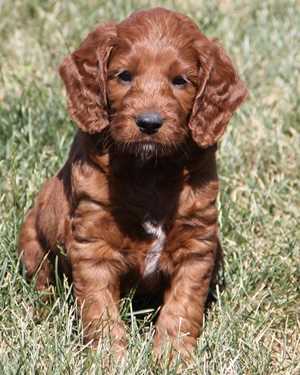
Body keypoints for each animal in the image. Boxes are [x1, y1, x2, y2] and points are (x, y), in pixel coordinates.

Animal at [19, 8, 248, 362]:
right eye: (124, 76)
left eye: (180, 80)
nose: (149, 123)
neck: (149, 170)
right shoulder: (92, 245)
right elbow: (100, 309)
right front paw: (109, 357)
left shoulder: (197, 245)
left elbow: (182, 307)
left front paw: (172, 356)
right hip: (32, 239)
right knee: (41, 280)